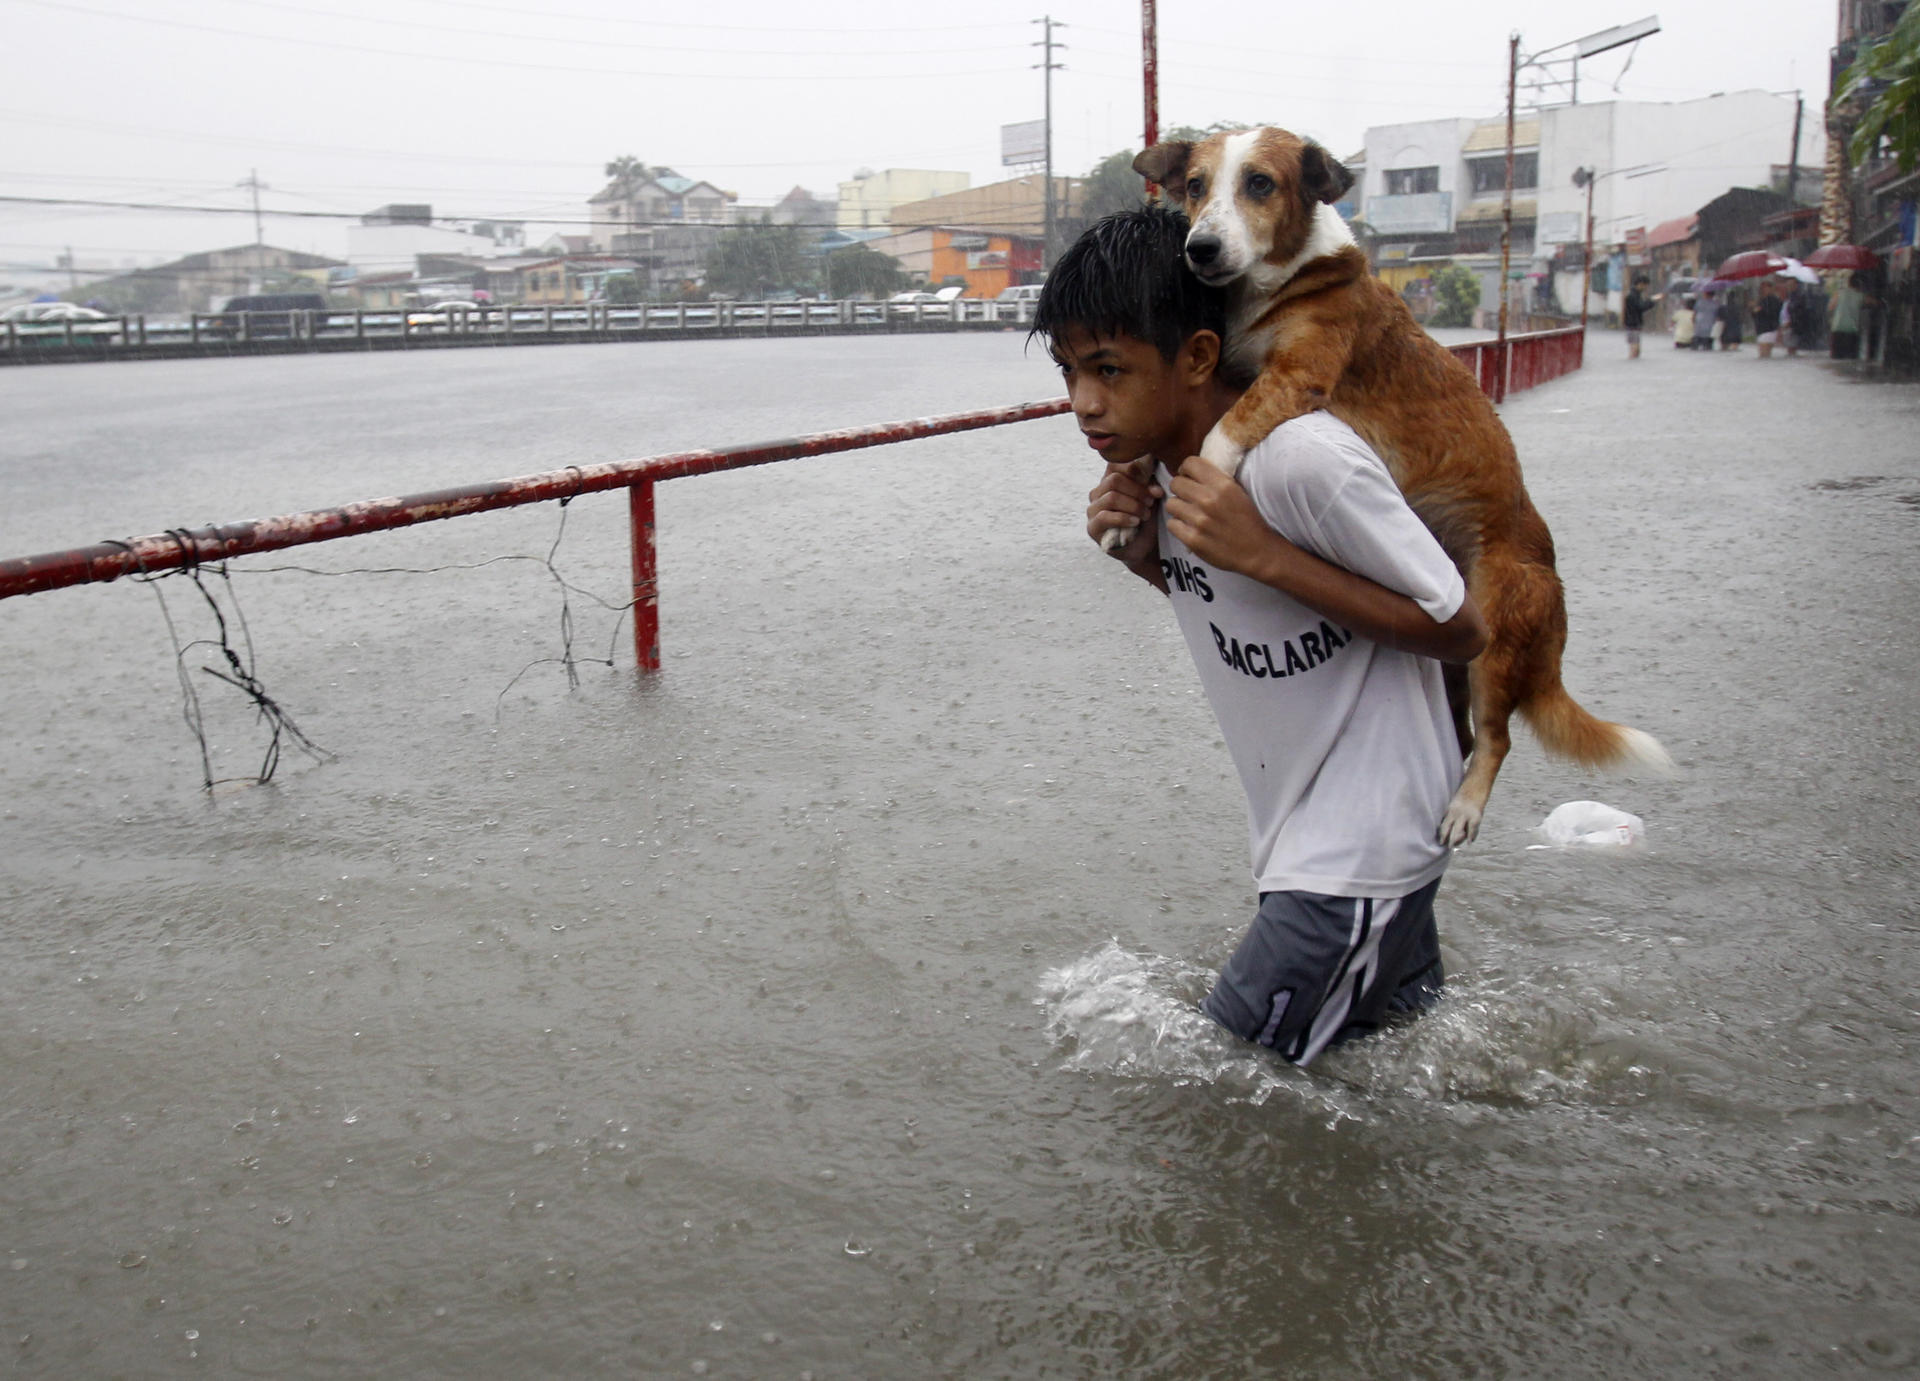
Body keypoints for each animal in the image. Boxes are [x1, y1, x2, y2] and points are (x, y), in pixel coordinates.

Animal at [1128, 129, 1674, 848]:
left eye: (1261, 184)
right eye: (1195, 185)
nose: (1201, 249)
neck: (1279, 284)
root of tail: (1553, 594)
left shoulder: (1297, 374)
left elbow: (1221, 433)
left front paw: (1204, 481)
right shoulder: (1231, 367)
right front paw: (1124, 495)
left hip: (1493, 642)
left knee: (1496, 739)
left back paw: (1465, 807)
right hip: (1455, 663)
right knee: (1465, 732)